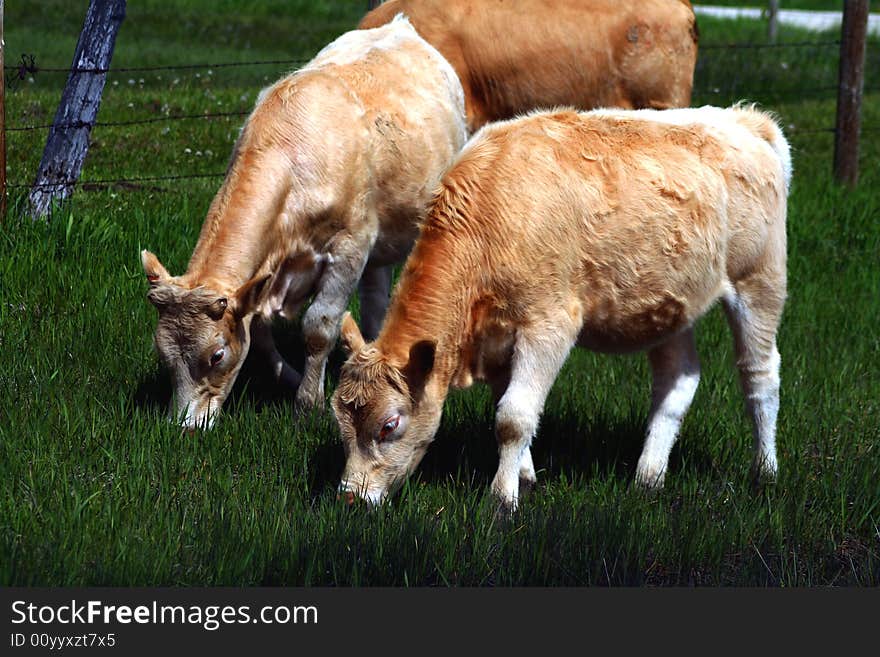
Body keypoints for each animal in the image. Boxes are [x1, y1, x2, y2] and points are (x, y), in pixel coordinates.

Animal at [140, 16, 468, 430]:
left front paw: (308, 403)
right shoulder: (264, 279)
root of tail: (402, 26)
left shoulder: (350, 246)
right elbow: (259, 333)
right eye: (163, 354)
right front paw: (291, 379)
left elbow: (319, 326)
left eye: (216, 355)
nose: (184, 427)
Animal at [330, 104, 792, 512]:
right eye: (340, 422)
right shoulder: (498, 337)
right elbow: (509, 405)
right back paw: (649, 476)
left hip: (759, 281)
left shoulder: (548, 324)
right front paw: (525, 477)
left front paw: (502, 500)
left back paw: (766, 472)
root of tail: (744, 120)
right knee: (678, 380)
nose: (351, 498)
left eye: (389, 425)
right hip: (671, 305)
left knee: (760, 374)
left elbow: (513, 416)